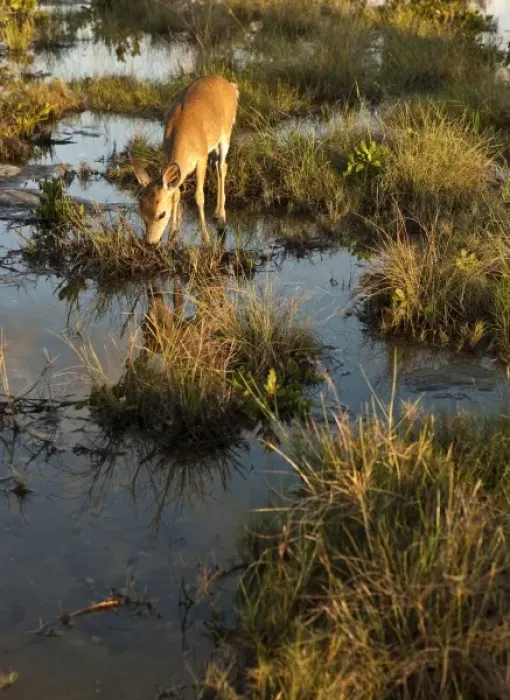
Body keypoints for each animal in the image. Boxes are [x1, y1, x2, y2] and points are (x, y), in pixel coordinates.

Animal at [130, 75, 239, 247]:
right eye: (141, 213)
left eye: (162, 214)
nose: (151, 242)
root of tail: (231, 86)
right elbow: (176, 194)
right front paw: (172, 234)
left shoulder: (201, 158)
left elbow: (199, 196)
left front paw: (206, 240)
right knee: (220, 165)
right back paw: (216, 214)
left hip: (226, 134)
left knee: (222, 167)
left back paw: (222, 219)